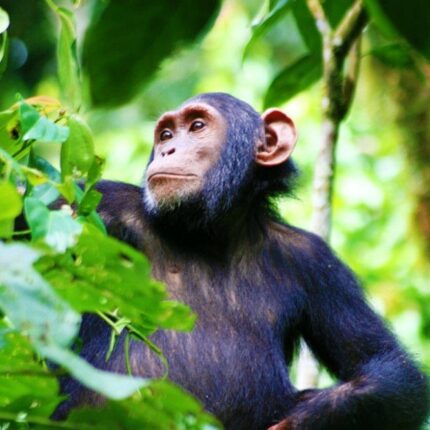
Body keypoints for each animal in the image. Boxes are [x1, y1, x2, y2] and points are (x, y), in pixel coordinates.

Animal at [53, 92, 430, 428]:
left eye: (197, 126)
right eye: (166, 134)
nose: (167, 149)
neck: (211, 232)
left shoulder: (317, 262)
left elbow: (387, 367)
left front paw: (299, 418)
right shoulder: (101, 204)